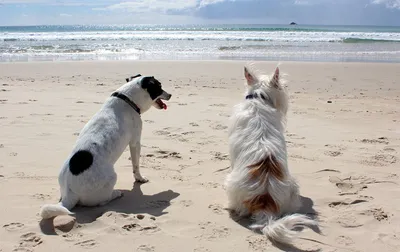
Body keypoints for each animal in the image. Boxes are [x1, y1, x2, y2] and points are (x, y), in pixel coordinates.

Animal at [39, 74, 171, 219]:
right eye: (159, 87)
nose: (170, 95)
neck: (127, 99)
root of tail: (70, 194)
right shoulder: (135, 142)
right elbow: (136, 166)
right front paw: (140, 179)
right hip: (112, 177)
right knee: (103, 201)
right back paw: (116, 193)